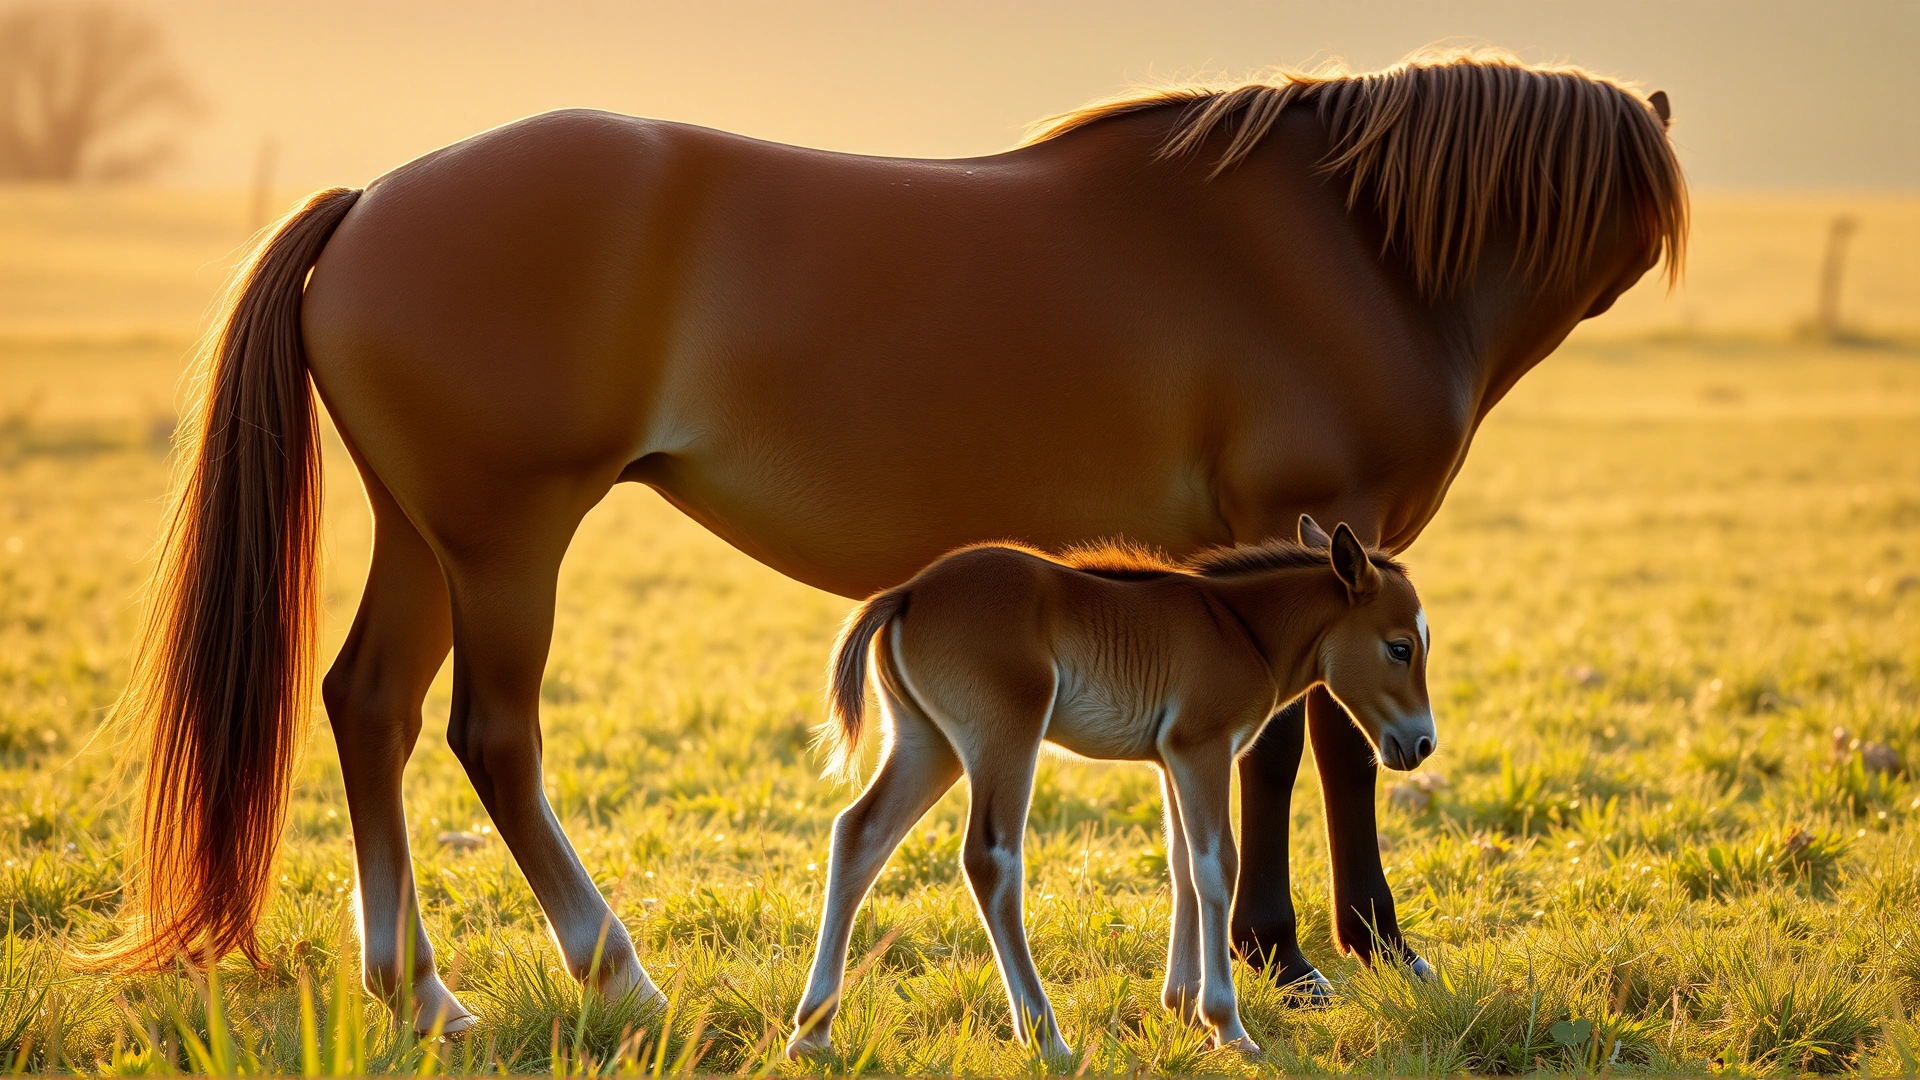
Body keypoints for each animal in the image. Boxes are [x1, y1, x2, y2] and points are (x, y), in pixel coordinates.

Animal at [787, 517, 1435, 1060]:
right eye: (1400, 647)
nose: (1423, 742)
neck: (1239, 628)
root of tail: (909, 592)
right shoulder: (1203, 747)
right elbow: (1215, 865)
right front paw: (1227, 1026)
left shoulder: (1173, 758)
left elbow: (1182, 862)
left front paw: (1182, 1008)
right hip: (1006, 736)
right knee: (990, 859)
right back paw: (1047, 1038)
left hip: (929, 744)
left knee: (861, 834)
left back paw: (812, 1033)